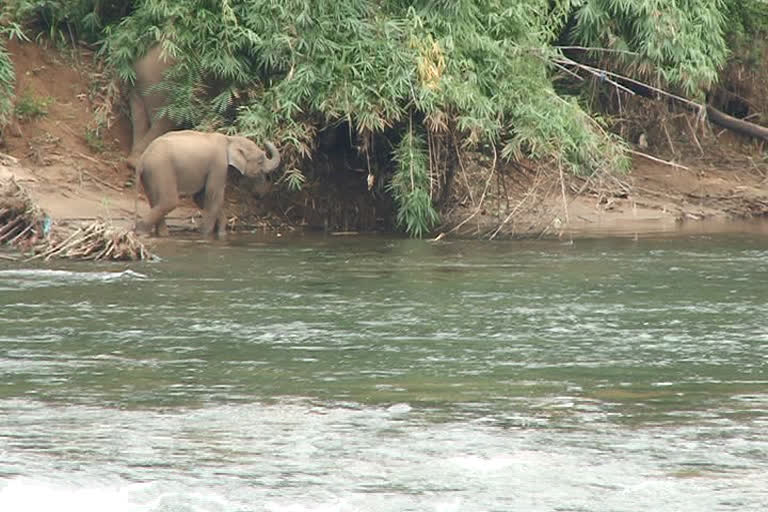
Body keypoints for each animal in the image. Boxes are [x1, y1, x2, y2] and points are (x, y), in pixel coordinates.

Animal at [134, 130, 280, 238]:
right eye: (260, 160)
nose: (259, 195)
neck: (230, 139)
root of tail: (142, 159)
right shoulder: (219, 164)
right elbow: (213, 196)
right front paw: (206, 235)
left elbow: (200, 198)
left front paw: (221, 233)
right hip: (160, 169)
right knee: (169, 201)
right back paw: (141, 233)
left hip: (151, 174)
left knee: (156, 201)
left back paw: (162, 235)